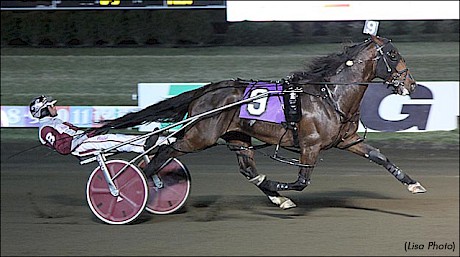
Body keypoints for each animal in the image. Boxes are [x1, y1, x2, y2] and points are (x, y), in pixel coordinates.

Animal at [91, 35, 426, 208]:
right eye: (393, 54)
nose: (410, 84)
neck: (329, 95)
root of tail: (207, 90)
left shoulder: (347, 140)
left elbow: (380, 157)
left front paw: (413, 184)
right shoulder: (311, 145)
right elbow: (301, 182)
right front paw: (277, 185)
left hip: (236, 137)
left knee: (246, 168)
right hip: (200, 135)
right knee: (162, 148)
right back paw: (134, 185)